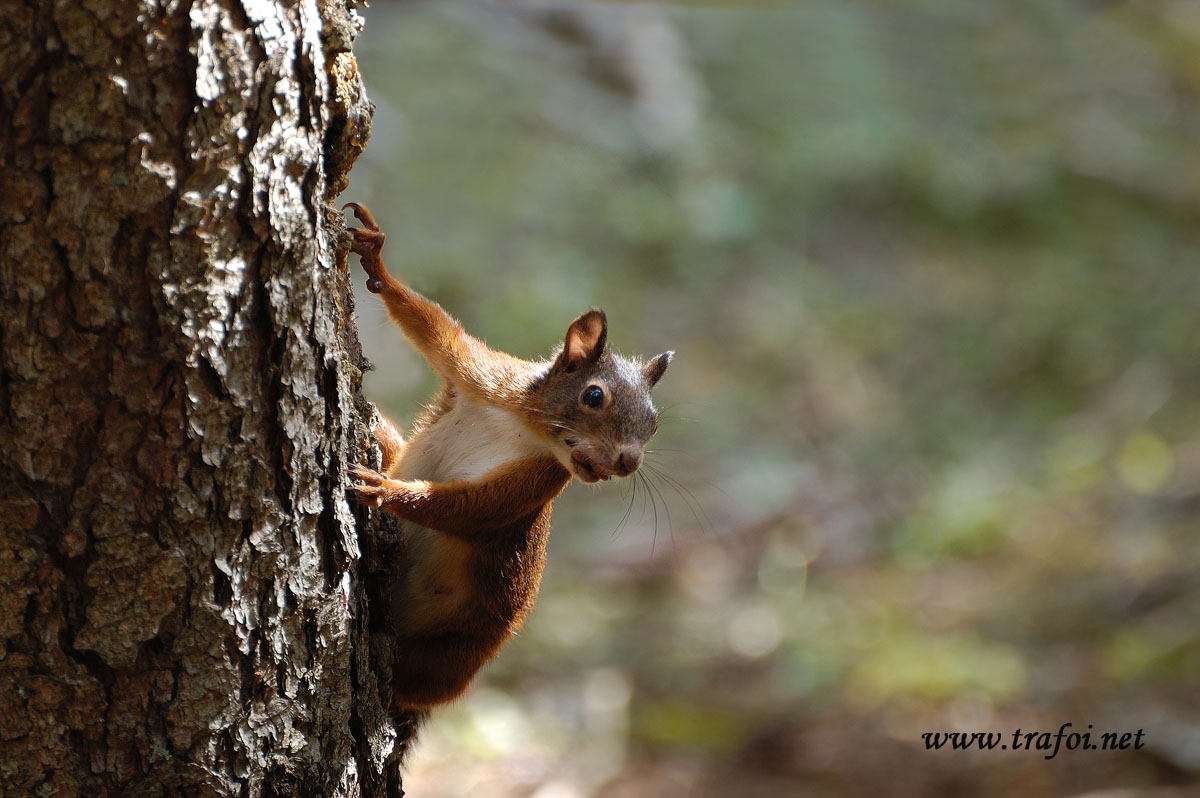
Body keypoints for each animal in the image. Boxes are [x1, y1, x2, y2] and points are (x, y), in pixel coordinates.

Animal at [343, 203, 672, 714]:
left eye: (654, 424)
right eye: (594, 396)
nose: (628, 462)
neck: (523, 426)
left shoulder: (535, 481)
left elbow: (472, 509)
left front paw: (387, 490)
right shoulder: (483, 375)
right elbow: (433, 328)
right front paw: (376, 262)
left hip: (451, 652)